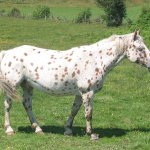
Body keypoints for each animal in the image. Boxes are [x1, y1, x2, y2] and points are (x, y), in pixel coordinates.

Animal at [0, 29, 149, 140]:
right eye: (141, 48)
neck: (96, 60)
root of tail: (6, 53)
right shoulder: (88, 92)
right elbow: (88, 113)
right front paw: (91, 134)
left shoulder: (79, 93)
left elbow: (74, 110)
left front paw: (68, 130)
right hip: (12, 86)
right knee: (8, 105)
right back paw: (9, 130)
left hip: (27, 85)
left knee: (27, 105)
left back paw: (38, 129)